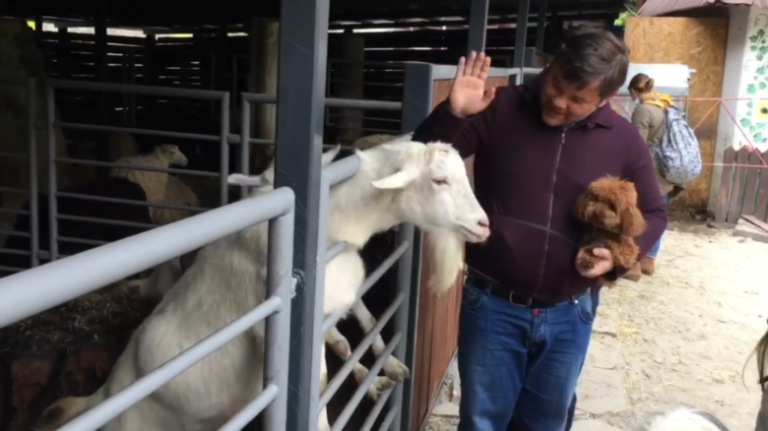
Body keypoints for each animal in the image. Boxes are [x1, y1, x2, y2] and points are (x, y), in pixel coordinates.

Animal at [39, 138, 488, 431]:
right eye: (439, 181)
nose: (483, 225)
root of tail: (105, 394)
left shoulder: (337, 295)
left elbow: (357, 325)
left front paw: (386, 368)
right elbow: (322, 376)